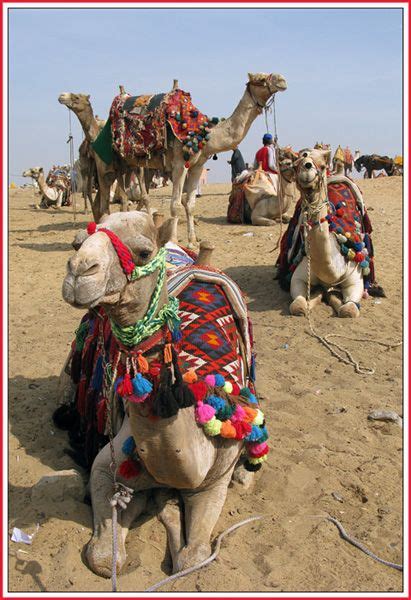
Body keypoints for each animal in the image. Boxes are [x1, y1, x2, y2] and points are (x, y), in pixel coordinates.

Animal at [60, 211, 262, 576]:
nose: (80, 271)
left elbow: (193, 558)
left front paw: (167, 504)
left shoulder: (214, 480)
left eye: (143, 252)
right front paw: (160, 502)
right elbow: (104, 557)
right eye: (76, 242)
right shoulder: (107, 466)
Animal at [92, 71, 288, 245]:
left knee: (123, 195)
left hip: (127, 164)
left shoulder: (197, 166)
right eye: (260, 79)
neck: (205, 134)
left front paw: (192, 241)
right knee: (104, 197)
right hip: (103, 165)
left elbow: (191, 204)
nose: (282, 80)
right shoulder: (179, 164)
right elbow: (176, 205)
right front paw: (172, 241)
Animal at [284, 149, 374, 318]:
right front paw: (317, 295)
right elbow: (297, 306)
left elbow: (349, 310)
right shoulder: (299, 276)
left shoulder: (355, 278)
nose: (307, 168)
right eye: (295, 165)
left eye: (323, 165)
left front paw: (331, 295)